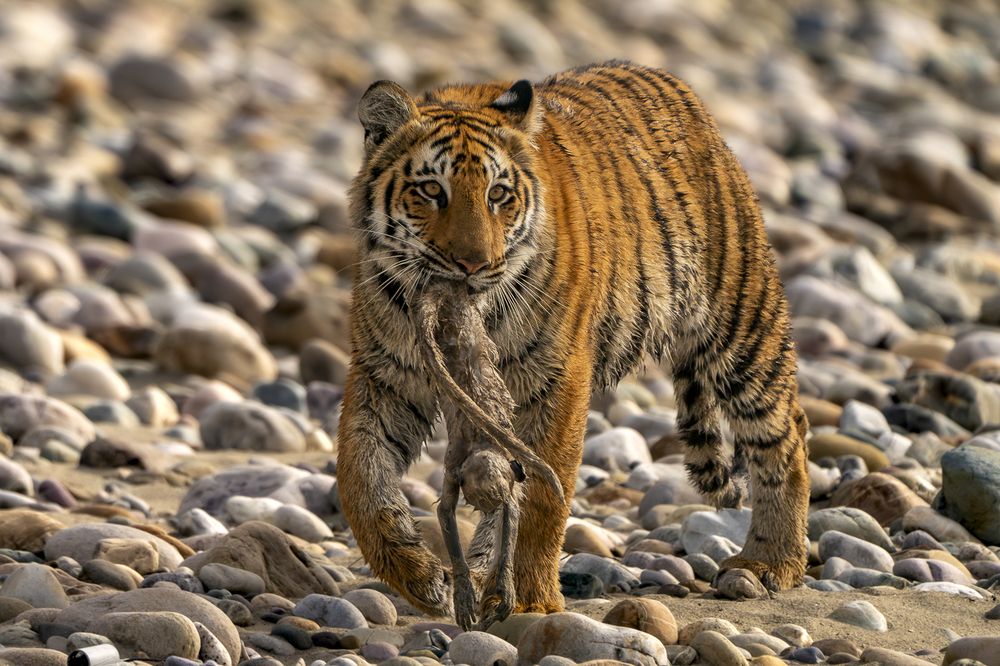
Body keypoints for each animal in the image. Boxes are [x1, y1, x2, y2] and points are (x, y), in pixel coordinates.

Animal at [337, 60, 810, 617]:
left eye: (498, 195)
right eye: (433, 191)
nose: (474, 265)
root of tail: (683, 92)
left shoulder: (556, 378)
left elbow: (546, 492)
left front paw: (530, 602)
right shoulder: (384, 376)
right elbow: (360, 477)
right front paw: (418, 577)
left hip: (741, 325)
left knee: (786, 435)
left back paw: (770, 563)